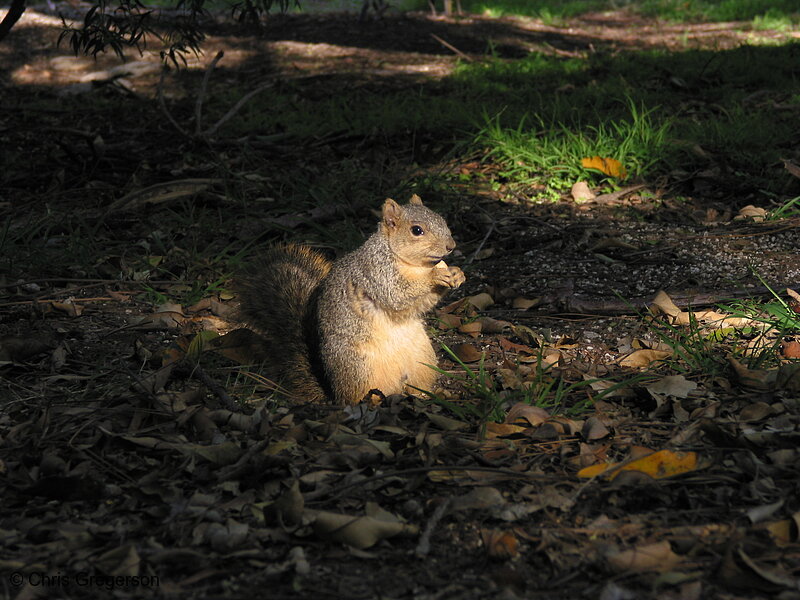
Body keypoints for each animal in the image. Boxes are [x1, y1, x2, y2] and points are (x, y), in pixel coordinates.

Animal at [236, 195, 462, 406]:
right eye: (416, 230)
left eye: (441, 220)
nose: (451, 246)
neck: (415, 266)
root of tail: (332, 392)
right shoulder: (376, 273)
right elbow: (397, 294)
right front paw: (435, 277)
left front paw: (457, 274)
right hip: (359, 368)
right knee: (356, 397)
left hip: (422, 359)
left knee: (415, 385)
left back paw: (429, 395)